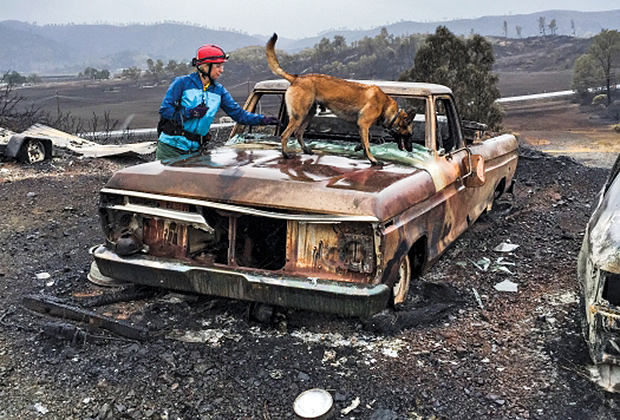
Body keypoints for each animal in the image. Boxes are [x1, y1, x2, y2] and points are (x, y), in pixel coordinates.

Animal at [266, 33, 414, 166]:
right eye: (409, 134)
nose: (411, 149)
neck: (386, 106)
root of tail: (297, 78)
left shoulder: (361, 125)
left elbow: (368, 139)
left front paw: (359, 147)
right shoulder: (363, 123)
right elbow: (368, 144)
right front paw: (372, 160)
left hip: (309, 114)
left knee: (298, 133)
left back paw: (306, 149)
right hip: (299, 115)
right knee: (285, 135)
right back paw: (286, 154)